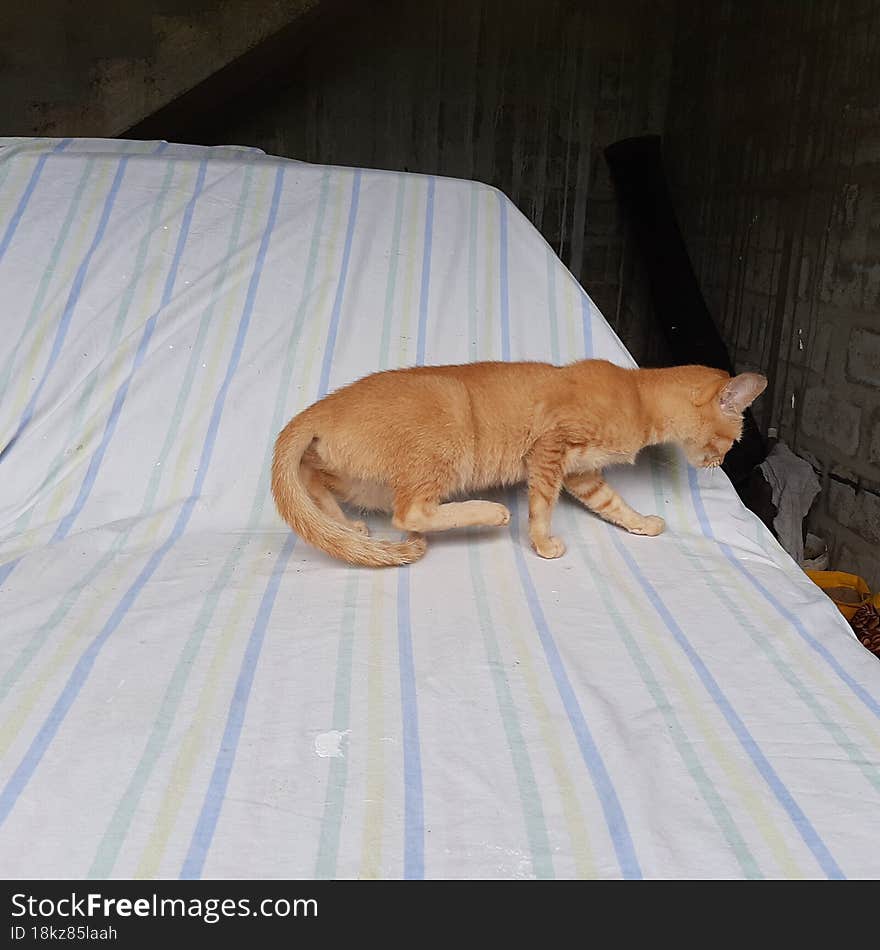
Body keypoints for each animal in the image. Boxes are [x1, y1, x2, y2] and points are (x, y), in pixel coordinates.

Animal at [272, 356, 768, 564]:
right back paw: (490, 513)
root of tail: (321, 407)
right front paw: (543, 543)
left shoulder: (583, 475)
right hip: (447, 433)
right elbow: (542, 506)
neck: (636, 394)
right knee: (409, 511)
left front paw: (641, 522)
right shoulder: (549, 451)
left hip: (360, 478)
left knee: (314, 481)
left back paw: (344, 526)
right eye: (732, 442)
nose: (719, 464)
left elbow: (613, 504)